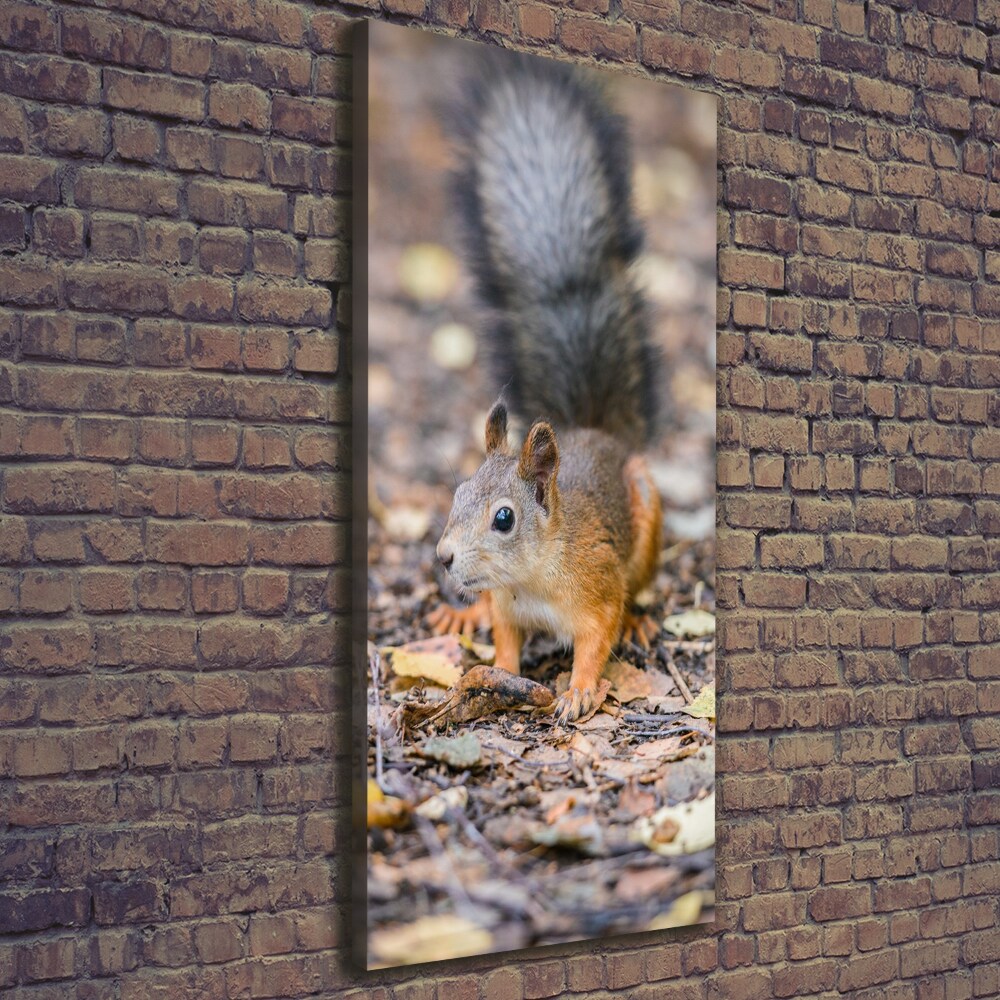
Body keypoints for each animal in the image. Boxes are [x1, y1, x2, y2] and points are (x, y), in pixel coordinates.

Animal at [424, 52, 664, 728]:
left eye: (504, 518)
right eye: (457, 492)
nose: (444, 558)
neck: (531, 577)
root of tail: (597, 432)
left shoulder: (596, 586)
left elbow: (597, 637)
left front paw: (580, 688)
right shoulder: (508, 608)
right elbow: (505, 642)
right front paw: (495, 672)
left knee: (638, 591)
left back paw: (641, 620)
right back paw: (458, 611)